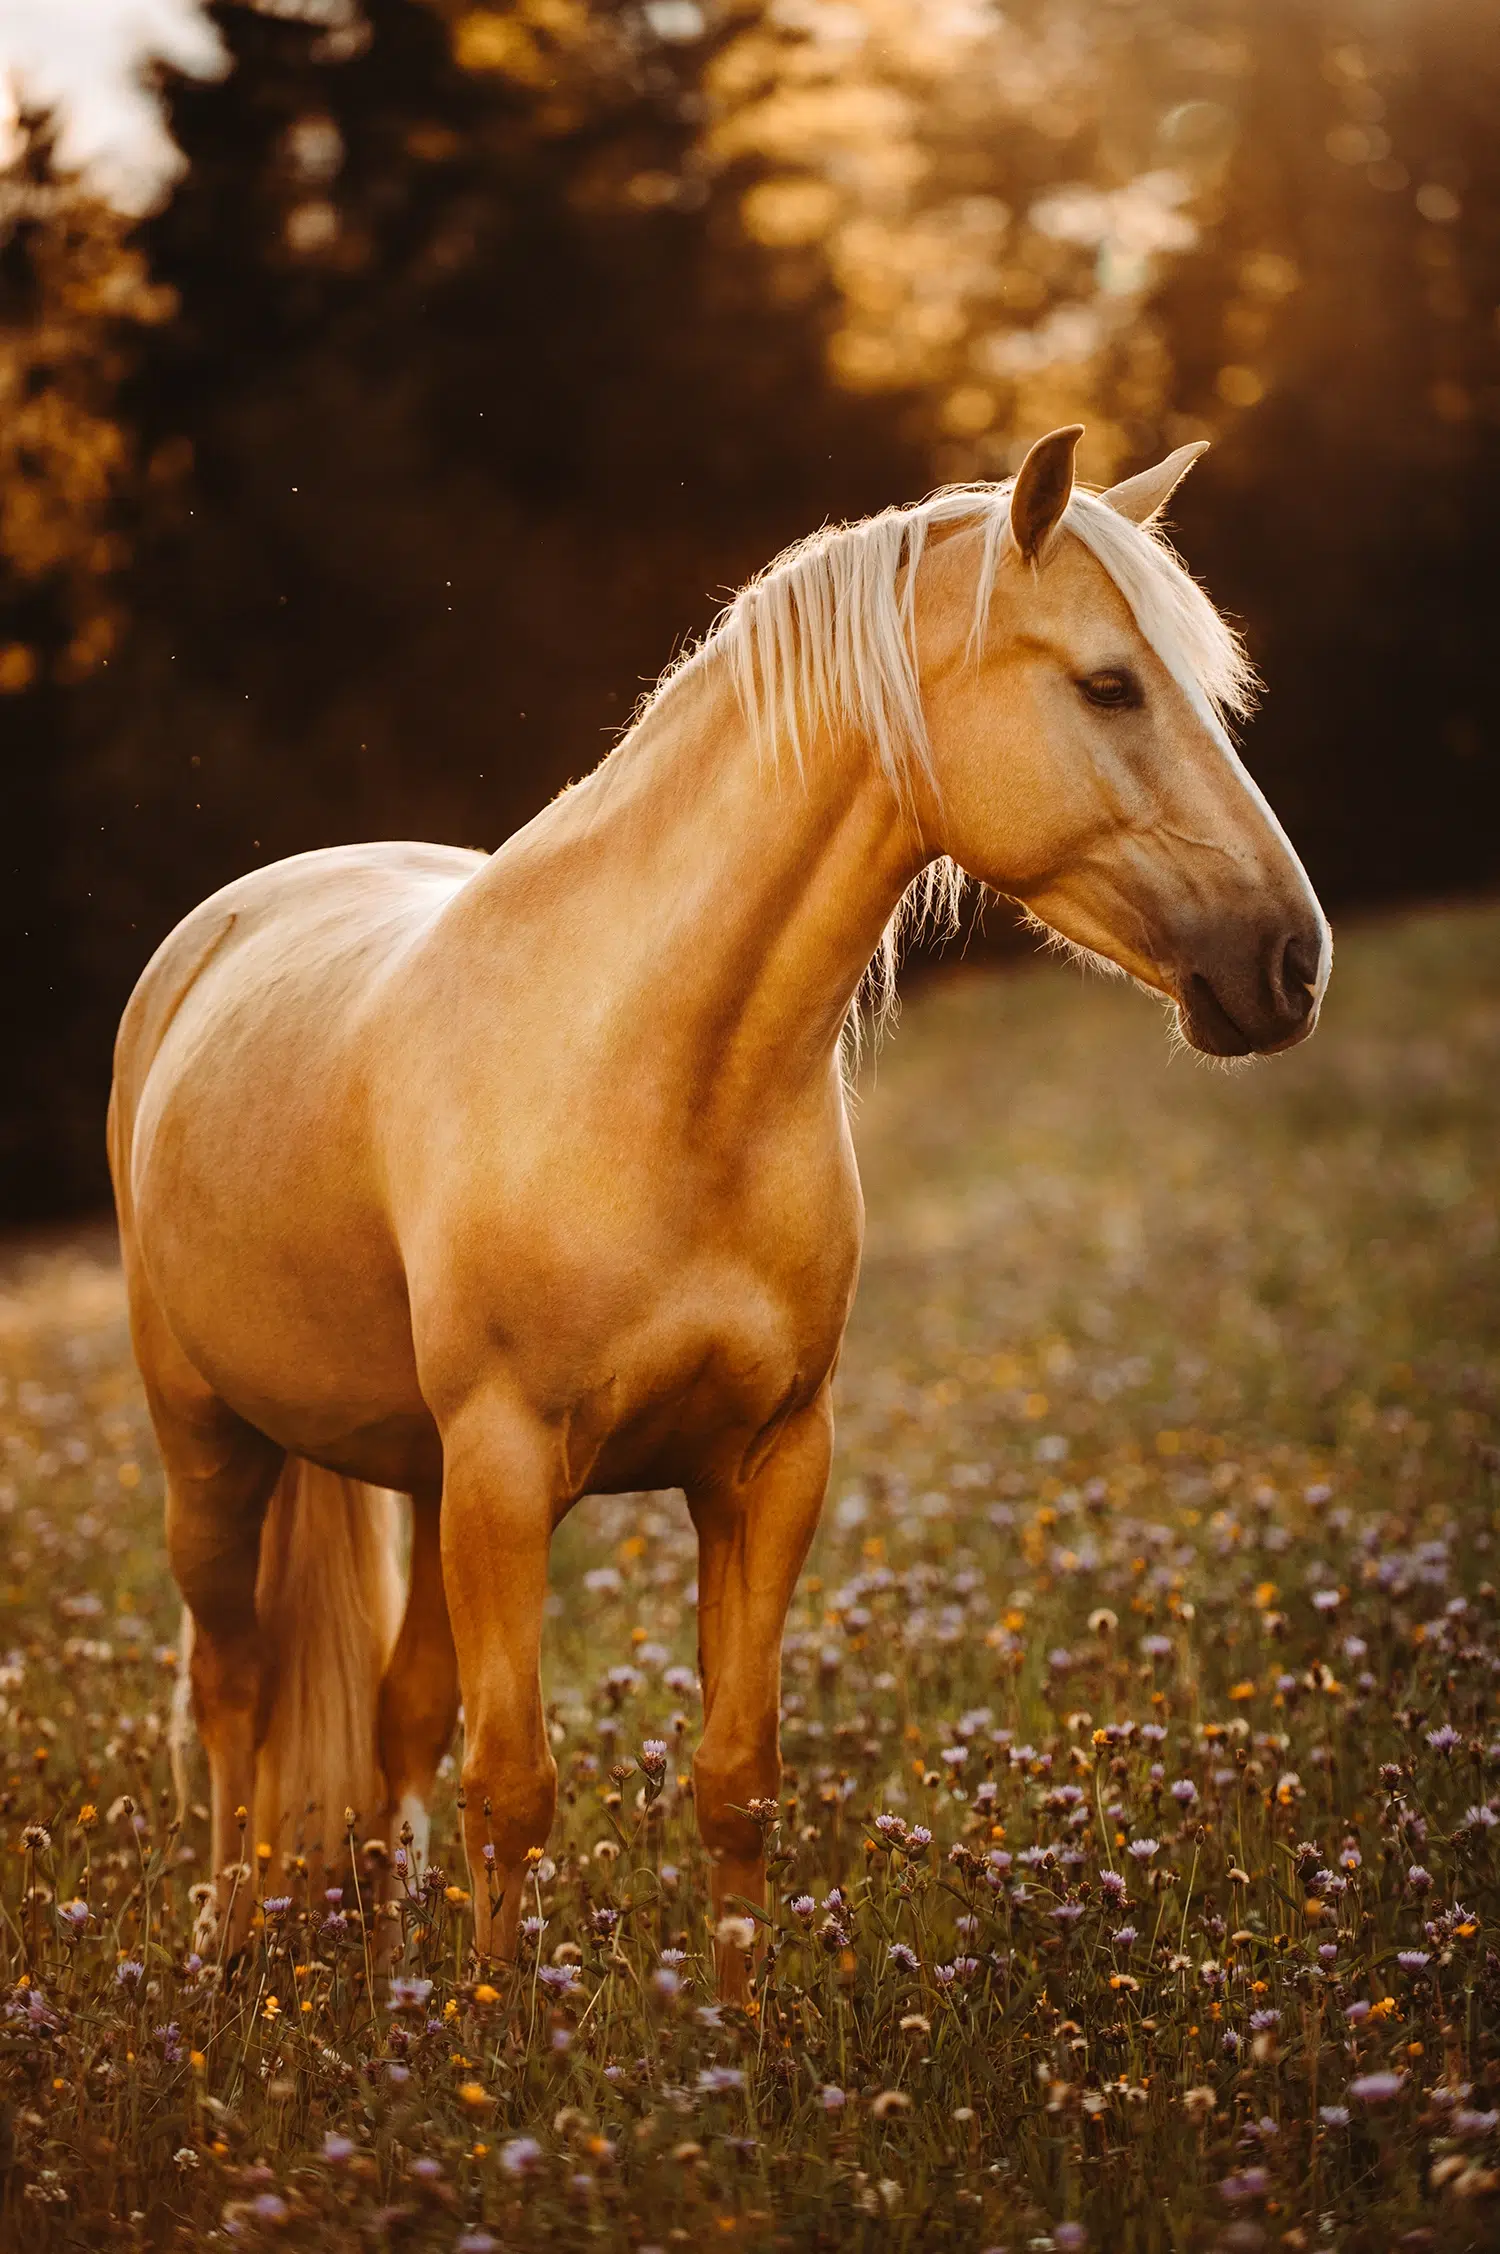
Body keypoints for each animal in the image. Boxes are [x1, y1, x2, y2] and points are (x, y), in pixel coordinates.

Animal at [108, 426, 1326, 1992]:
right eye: (1111, 683)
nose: (1291, 962)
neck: (657, 1075)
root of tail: (224, 925)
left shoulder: (765, 1463)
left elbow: (733, 1778)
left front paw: (733, 2044)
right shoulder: (507, 1469)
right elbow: (514, 1788)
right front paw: (499, 2034)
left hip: (422, 1481)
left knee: (393, 1718)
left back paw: (384, 1972)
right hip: (214, 1444)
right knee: (235, 1684)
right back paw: (227, 1939)